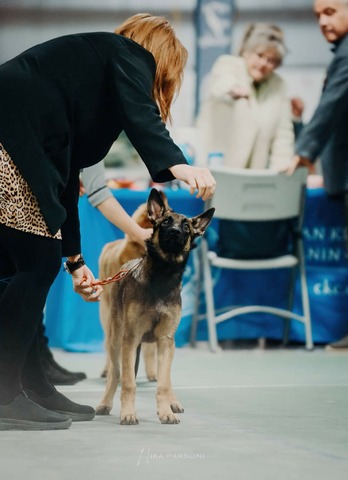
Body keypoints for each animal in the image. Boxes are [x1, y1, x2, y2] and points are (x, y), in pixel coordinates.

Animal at [96, 188, 213, 424]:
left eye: (186, 227)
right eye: (166, 221)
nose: (175, 232)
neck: (162, 277)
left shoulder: (166, 340)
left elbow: (163, 383)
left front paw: (166, 411)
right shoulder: (131, 339)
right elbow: (128, 382)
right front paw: (128, 412)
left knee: (164, 378)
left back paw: (173, 401)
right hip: (115, 340)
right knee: (115, 373)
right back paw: (105, 402)